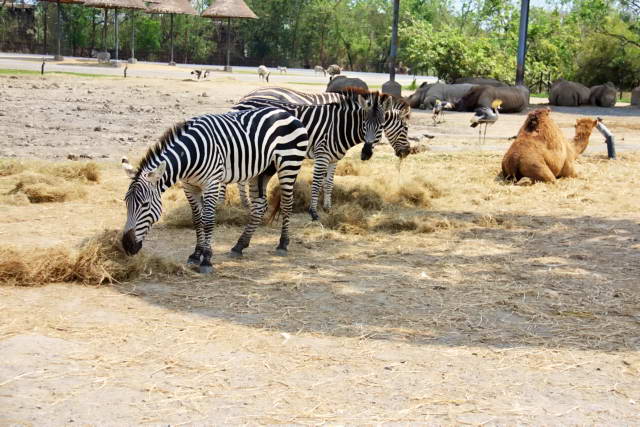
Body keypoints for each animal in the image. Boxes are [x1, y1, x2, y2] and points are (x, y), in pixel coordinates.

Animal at [122, 107, 310, 274]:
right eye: (126, 203)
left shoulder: (211, 184)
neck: (189, 155)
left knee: (287, 204)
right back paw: (239, 246)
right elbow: (197, 219)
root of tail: (287, 113)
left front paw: (206, 259)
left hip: (289, 164)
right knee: (259, 206)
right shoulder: (189, 186)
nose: (127, 246)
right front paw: (196, 255)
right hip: (262, 170)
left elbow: (208, 220)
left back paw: (283, 244)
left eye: (145, 205)